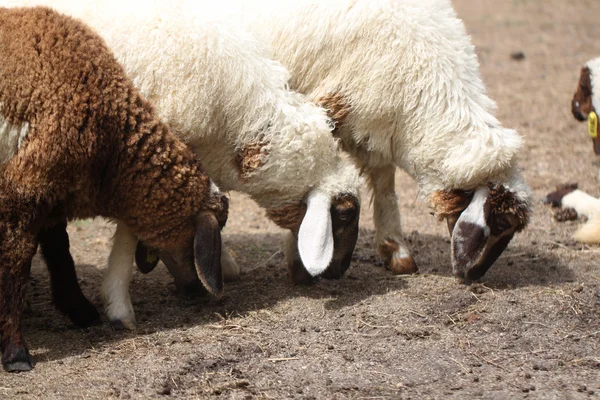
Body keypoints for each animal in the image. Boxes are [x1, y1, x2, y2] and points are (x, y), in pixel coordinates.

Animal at [0, 6, 227, 374]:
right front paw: (16, 352)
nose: (195, 290)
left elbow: (59, 251)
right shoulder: (24, 187)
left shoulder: (50, 191)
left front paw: (79, 309)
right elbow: (15, 267)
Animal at [4, 0, 364, 328]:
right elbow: (131, 231)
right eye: (346, 213)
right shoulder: (143, 159)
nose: (340, 271)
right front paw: (119, 305)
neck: (232, 120)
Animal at [212, 0, 536, 282]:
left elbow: (384, 184)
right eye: (501, 223)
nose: (473, 276)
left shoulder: (374, 117)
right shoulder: (330, 108)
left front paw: (396, 250)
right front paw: (301, 261)